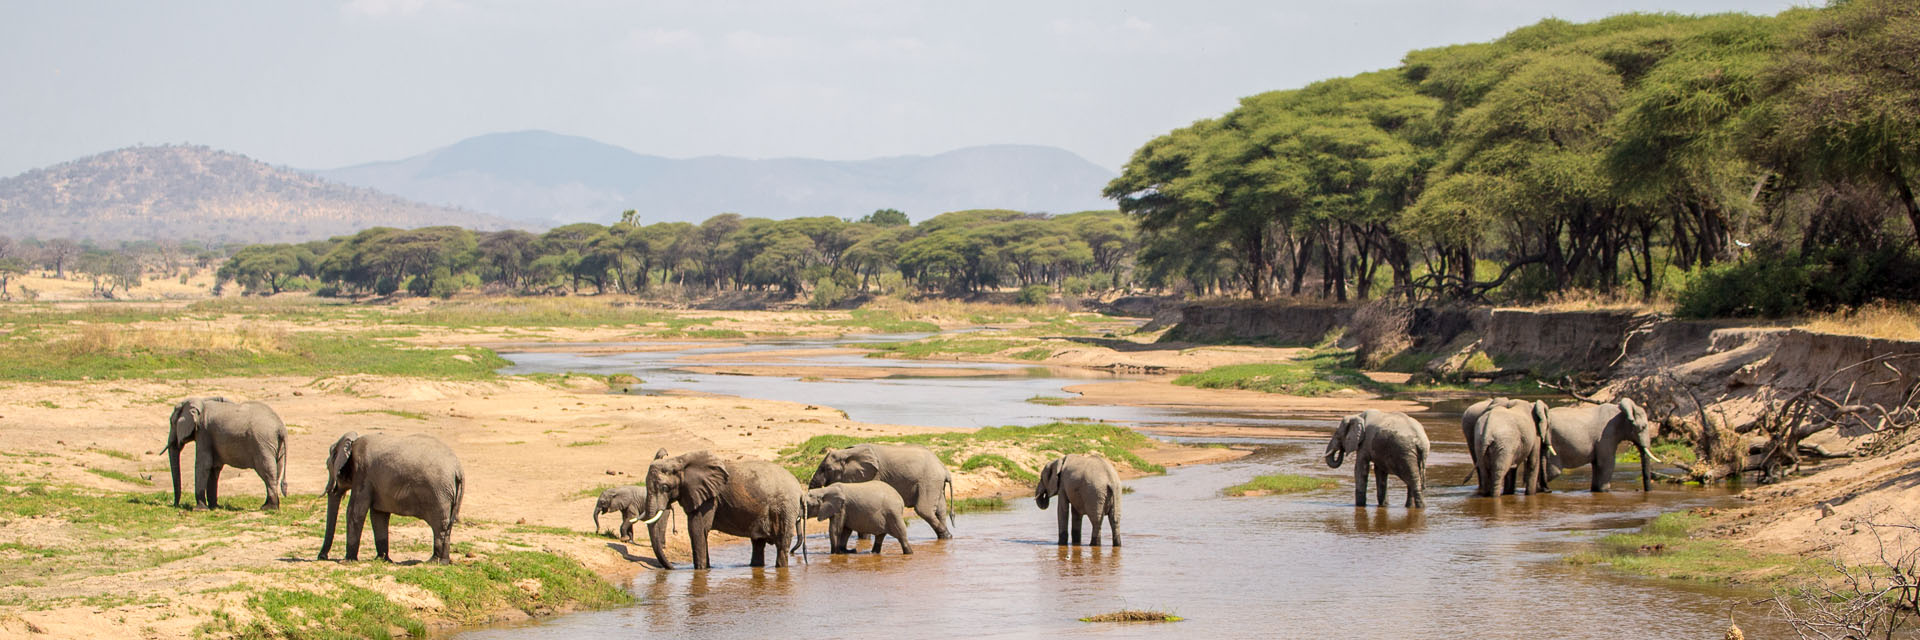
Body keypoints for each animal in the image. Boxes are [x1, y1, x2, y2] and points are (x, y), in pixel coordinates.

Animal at [318, 430, 464, 561]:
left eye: (327, 467)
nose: (322, 557)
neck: (352, 443)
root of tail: (458, 470)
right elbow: (378, 515)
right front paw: (382, 559)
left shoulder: (363, 473)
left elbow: (355, 512)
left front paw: (347, 560)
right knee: (446, 526)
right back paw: (443, 562)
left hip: (439, 494)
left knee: (439, 526)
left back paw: (434, 561)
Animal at [637, 447, 802, 568]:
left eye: (665, 487)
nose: (672, 567)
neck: (680, 460)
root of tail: (798, 487)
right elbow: (700, 530)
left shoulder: (709, 498)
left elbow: (697, 528)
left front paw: (701, 571)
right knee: (758, 544)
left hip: (785, 509)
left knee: (781, 544)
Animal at [810, 443, 952, 538]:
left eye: (827, 469)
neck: (847, 452)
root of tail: (943, 468)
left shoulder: (873, 475)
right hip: (935, 483)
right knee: (940, 509)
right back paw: (946, 537)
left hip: (929, 481)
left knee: (924, 510)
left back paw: (946, 536)